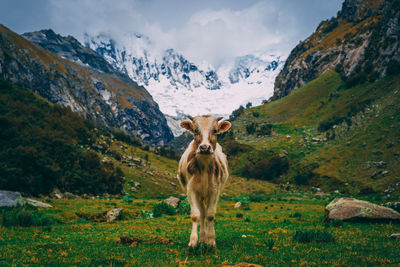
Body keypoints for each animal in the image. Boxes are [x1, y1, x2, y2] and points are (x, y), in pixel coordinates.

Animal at [178, 114, 231, 248]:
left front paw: (211, 240)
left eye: (215, 131)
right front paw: (193, 241)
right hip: (200, 194)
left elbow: (210, 214)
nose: (204, 147)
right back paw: (202, 237)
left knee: (205, 212)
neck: (204, 167)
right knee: (202, 212)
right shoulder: (191, 190)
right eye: (195, 130)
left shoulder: (214, 190)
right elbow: (196, 215)